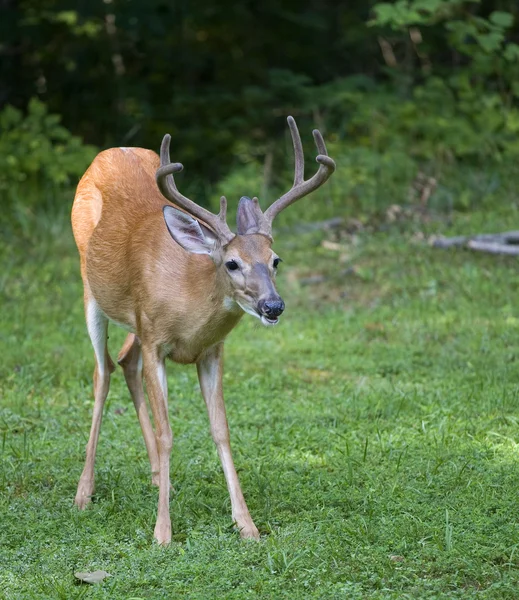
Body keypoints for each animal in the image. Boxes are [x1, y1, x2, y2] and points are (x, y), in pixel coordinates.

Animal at [70, 113, 338, 544]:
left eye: (276, 260)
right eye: (231, 263)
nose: (273, 306)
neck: (187, 301)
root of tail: (110, 151)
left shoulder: (211, 350)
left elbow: (221, 430)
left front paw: (247, 525)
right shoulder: (155, 341)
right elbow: (167, 433)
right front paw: (162, 532)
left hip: (134, 322)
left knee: (126, 362)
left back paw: (157, 477)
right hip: (89, 287)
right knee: (102, 372)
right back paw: (84, 492)